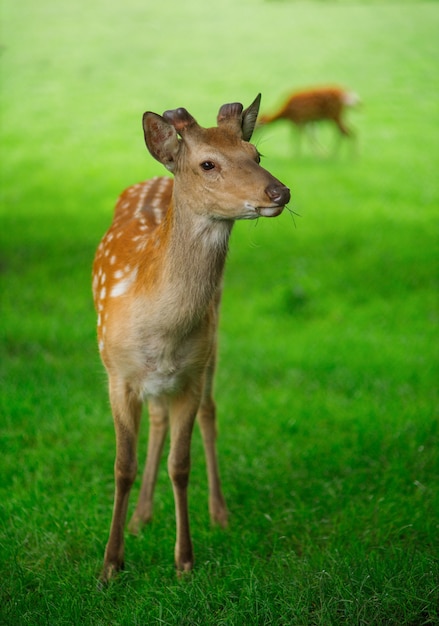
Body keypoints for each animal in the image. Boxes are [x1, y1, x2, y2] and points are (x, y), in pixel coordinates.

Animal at [92, 94, 292, 580]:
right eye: (208, 164)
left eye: (257, 155)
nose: (279, 193)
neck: (160, 329)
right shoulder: (117, 373)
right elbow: (122, 466)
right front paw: (111, 564)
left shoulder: (190, 375)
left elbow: (180, 466)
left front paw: (184, 560)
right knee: (158, 419)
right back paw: (141, 517)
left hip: (212, 346)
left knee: (209, 412)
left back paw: (219, 513)